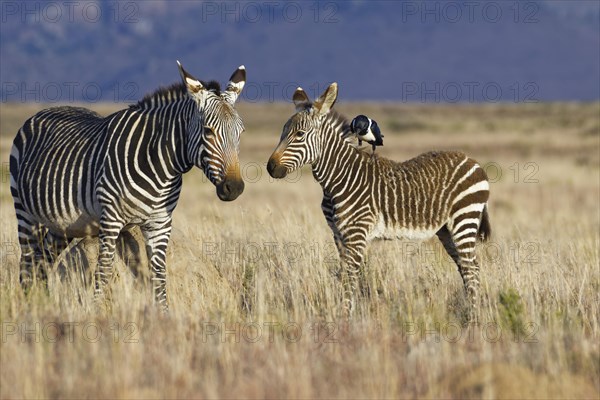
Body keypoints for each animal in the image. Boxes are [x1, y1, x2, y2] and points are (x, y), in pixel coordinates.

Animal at [8, 62, 246, 310]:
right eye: (208, 131)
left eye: (241, 132)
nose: (234, 187)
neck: (160, 166)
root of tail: (45, 110)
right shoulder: (111, 220)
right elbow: (103, 271)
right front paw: (96, 313)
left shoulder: (160, 223)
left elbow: (159, 274)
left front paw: (164, 314)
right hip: (25, 213)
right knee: (28, 262)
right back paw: (29, 306)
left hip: (61, 225)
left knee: (43, 261)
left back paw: (43, 303)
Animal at [268, 83, 492, 320]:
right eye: (282, 132)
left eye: (299, 134)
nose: (270, 168)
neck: (340, 177)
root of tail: (472, 161)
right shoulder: (338, 234)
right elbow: (344, 275)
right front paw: (346, 314)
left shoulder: (356, 233)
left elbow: (350, 277)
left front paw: (344, 318)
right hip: (447, 230)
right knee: (466, 268)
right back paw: (470, 312)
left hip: (464, 219)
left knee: (471, 269)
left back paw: (474, 318)